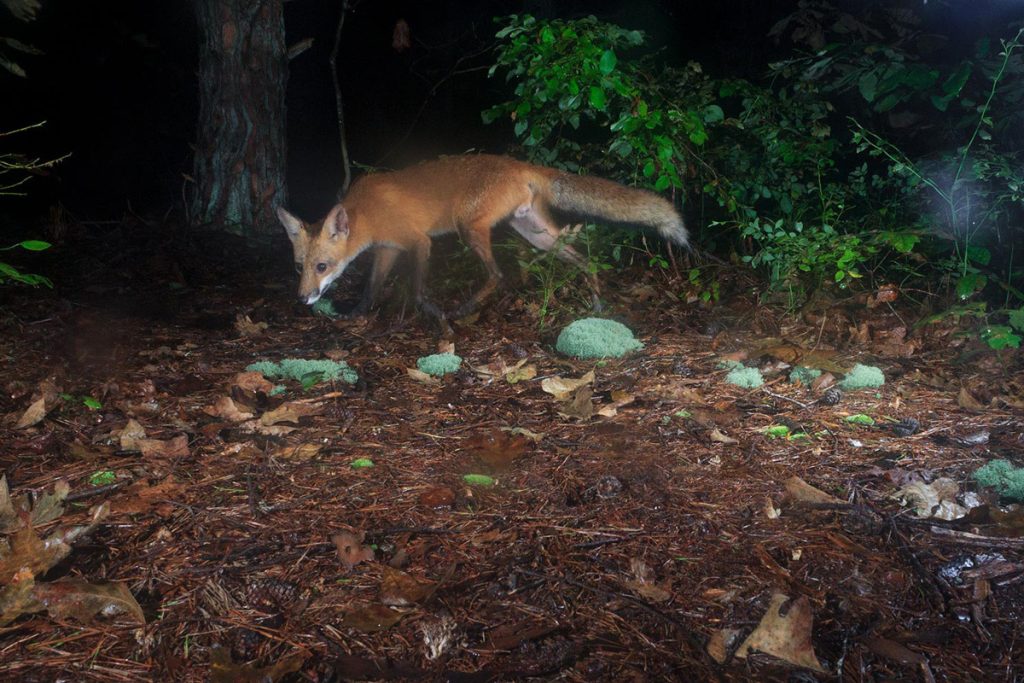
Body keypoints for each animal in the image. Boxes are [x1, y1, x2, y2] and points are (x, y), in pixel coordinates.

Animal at [278, 153, 688, 319]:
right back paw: (598, 302)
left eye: (321, 266)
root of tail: (519, 164)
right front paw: (356, 315)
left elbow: (417, 288)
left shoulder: (417, 242)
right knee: (583, 259)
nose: (301, 299)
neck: (367, 211)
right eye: (298, 267)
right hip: (536, 234)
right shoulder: (387, 250)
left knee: (497, 275)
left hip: (469, 226)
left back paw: (465, 309)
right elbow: (370, 288)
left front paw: (431, 313)